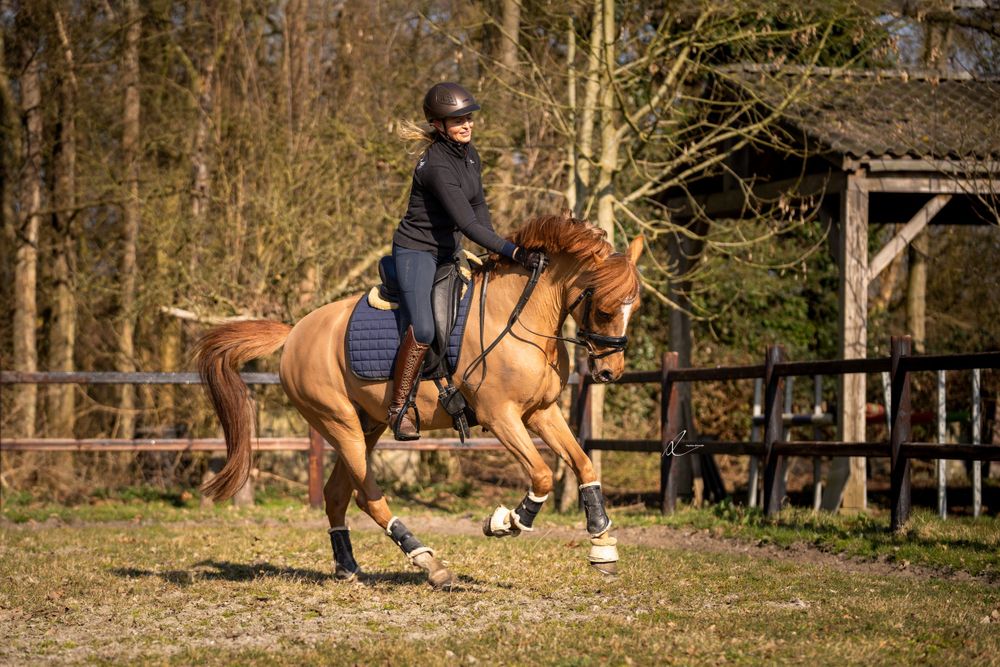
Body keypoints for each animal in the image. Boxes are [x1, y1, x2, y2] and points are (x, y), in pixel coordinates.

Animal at [194, 213, 643, 588]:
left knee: (338, 495)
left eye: (633, 306)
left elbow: (583, 464)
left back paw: (348, 568)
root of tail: (295, 332)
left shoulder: (541, 413)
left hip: (368, 425)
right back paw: (429, 563)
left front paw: (602, 545)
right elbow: (543, 475)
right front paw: (508, 521)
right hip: (340, 425)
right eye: (604, 308)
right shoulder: (501, 417)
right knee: (368, 497)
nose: (610, 373)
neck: (518, 318)